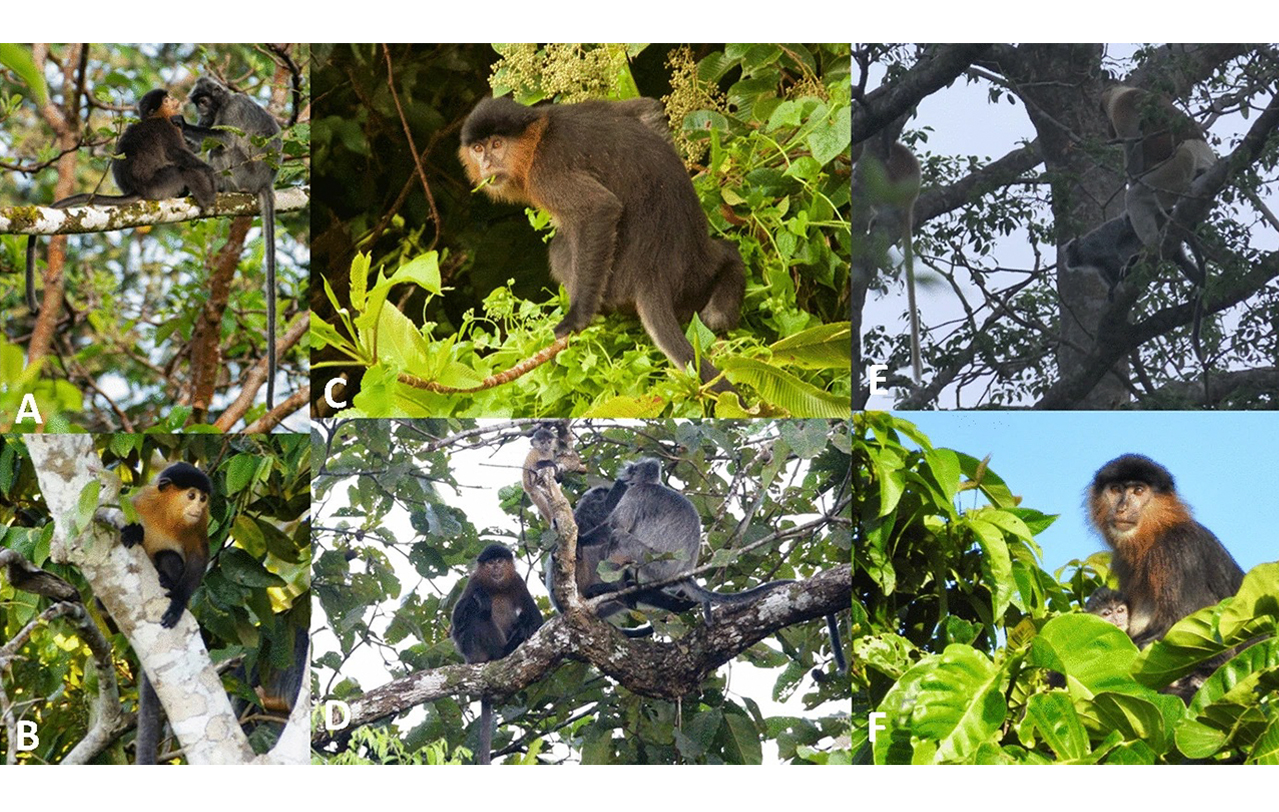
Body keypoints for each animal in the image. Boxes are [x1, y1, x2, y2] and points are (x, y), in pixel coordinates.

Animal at [25, 88, 218, 313]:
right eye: (167, 99)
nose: (175, 99)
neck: (158, 117)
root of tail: (136, 188)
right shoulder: (166, 128)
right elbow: (178, 153)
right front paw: (210, 171)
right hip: (160, 183)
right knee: (182, 169)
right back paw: (206, 198)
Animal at [119, 461, 212, 764]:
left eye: (203, 499)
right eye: (191, 495)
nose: (198, 506)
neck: (167, 512)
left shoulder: (200, 523)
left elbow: (199, 556)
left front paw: (178, 602)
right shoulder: (139, 501)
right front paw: (134, 532)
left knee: (168, 557)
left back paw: (166, 580)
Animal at [178, 76, 284, 409]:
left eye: (203, 100)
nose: (200, 109)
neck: (222, 102)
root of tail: (265, 182)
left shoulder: (232, 109)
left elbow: (225, 136)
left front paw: (180, 123)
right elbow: (202, 141)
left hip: (242, 172)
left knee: (223, 147)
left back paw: (215, 185)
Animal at [450, 543, 544, 765]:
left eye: (500, 561)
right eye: (491, 562)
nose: (496, 568)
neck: (496, 587)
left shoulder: (517, 581)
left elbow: (537, 619)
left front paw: (526, 627)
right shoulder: (474, 582)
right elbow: (457, 624)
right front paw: (480, 598)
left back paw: (517, 637)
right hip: (474, 651)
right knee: (477, 615)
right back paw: (503, 650)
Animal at [459, 96, 745, 394]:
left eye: (496, 144)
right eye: (478, 148)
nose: (486, 163)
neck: (538, 136)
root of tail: (654, 275)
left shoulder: (545, 170)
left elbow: (599, 208)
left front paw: (577, 317)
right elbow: (645, 108)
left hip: (617, 284)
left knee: (560, 248)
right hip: (695, 275)